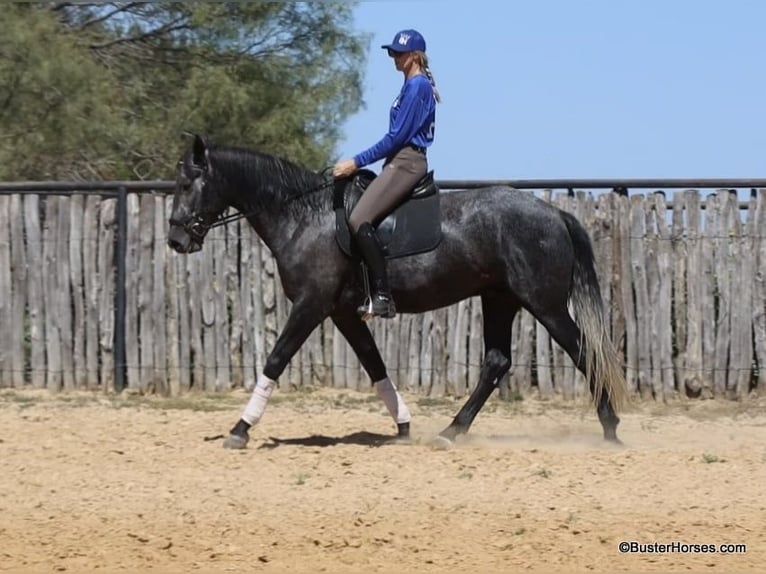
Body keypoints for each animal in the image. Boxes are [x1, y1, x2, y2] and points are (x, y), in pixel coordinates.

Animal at [167, 134, 629, 450]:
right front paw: (404, 426)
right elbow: (375, 365)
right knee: (496, 362)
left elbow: (276, 360)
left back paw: (610, 429)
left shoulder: (311, 305)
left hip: (543, 304)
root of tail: (554, 213)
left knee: (582, 352)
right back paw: (451, 431)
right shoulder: (342, 313)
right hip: (500, 299)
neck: (303, 216)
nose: (175, 240)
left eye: (187, 184)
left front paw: (240, 430)